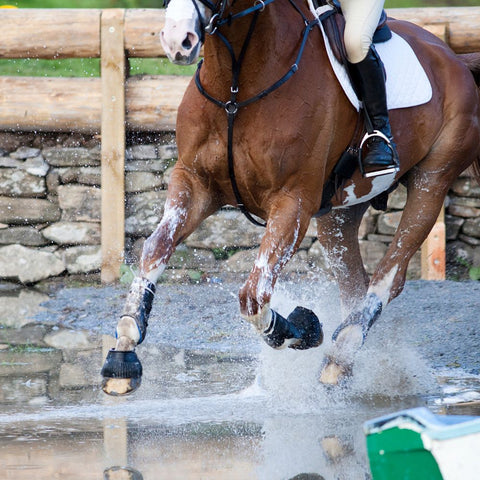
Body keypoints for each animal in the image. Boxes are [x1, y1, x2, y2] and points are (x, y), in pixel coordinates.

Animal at [100, 0, 480, 398]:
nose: (178, 40)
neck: (236, 83)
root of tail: (453, 58)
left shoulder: (292, 202)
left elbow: (253, 294)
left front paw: (302, 327)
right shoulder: (194, 182)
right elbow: (155, 248)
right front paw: (123, 350)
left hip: (431, 182)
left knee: (388, 276)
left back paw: (338, 359)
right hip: (340, 211)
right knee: (353, 283)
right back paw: (349, 361)